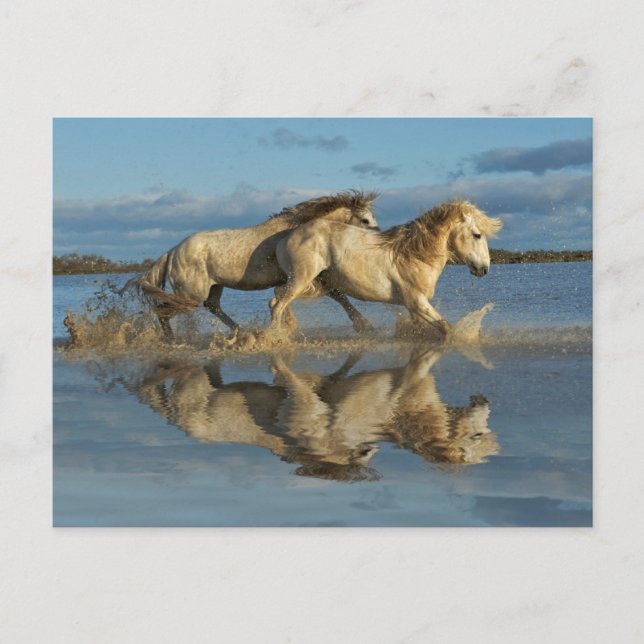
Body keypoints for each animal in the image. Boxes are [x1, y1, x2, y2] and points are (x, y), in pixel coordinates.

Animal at [124, 191, 379, 338]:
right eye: (365, 220)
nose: (378, 241)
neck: (295, 230)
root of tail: (173, 250)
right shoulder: (304, 276)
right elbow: (335, 295)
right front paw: (364, 325)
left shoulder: (301, 278)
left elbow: (335, 296)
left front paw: (364, 325)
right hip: (190, 295)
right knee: (162, 311)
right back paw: (166, 340)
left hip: (213, 288)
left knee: (213, 307)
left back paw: (240, 330)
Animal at [269, 199, 502, 337]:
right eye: (477, 235)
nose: (484, 269)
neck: (413, 255)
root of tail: (286, 237)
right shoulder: (416, 302)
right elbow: (447, 328)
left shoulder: (413, 308)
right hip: (301, 279)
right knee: (277, 304)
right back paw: (274, 338)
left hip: (314, 283)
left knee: (278, 298)